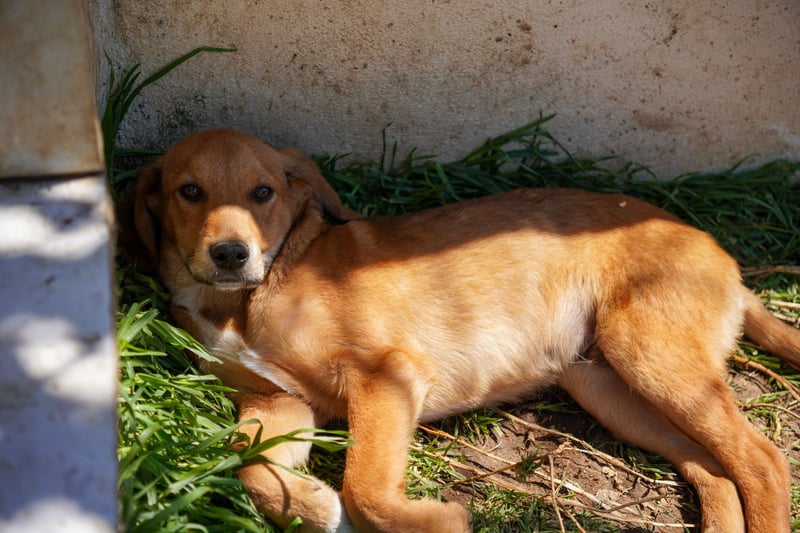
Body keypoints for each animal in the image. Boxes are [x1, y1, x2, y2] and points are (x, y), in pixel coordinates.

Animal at [121, 128, 799, 533]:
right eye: (189, 192)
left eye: (263, 193)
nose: (231, 254)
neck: (243, 300)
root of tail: (727, 262)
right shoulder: (276, 401)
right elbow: (249, 466)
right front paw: (311, 506)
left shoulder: (386, 375)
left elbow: (365, 485)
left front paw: (434, 521)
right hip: (607, 385)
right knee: (715, 468)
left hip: (649, 353)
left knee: (762, 460)